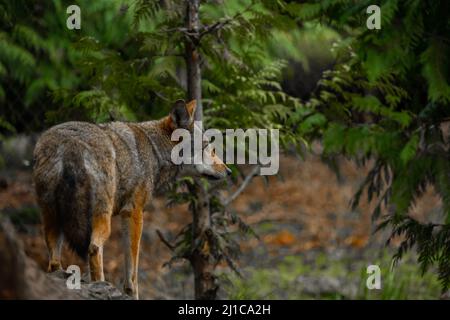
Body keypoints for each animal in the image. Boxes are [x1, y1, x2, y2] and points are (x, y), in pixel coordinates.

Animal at [32, 99, 230, 298]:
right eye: (207, 146)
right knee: (94, 248)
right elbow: (132, 271)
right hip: (101, 221)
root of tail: (69, 144)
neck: (155, 150)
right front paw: (130, 294)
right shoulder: (134, 212)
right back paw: (100, 285)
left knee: (54, 262)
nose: (228, 171)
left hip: (53, 220)